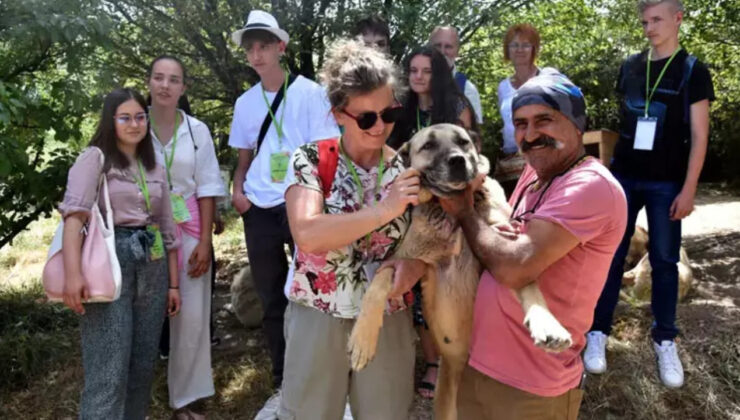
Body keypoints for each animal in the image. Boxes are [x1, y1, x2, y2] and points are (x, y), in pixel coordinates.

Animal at [346, 124, 572, 420]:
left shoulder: (507, 255)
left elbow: (530, 286)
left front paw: (547, 323)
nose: (457, 160)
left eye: (463, 142)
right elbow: (378, 283)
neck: (453, 213)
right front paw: (362, 341)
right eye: (428, 146)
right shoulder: (410, 261)